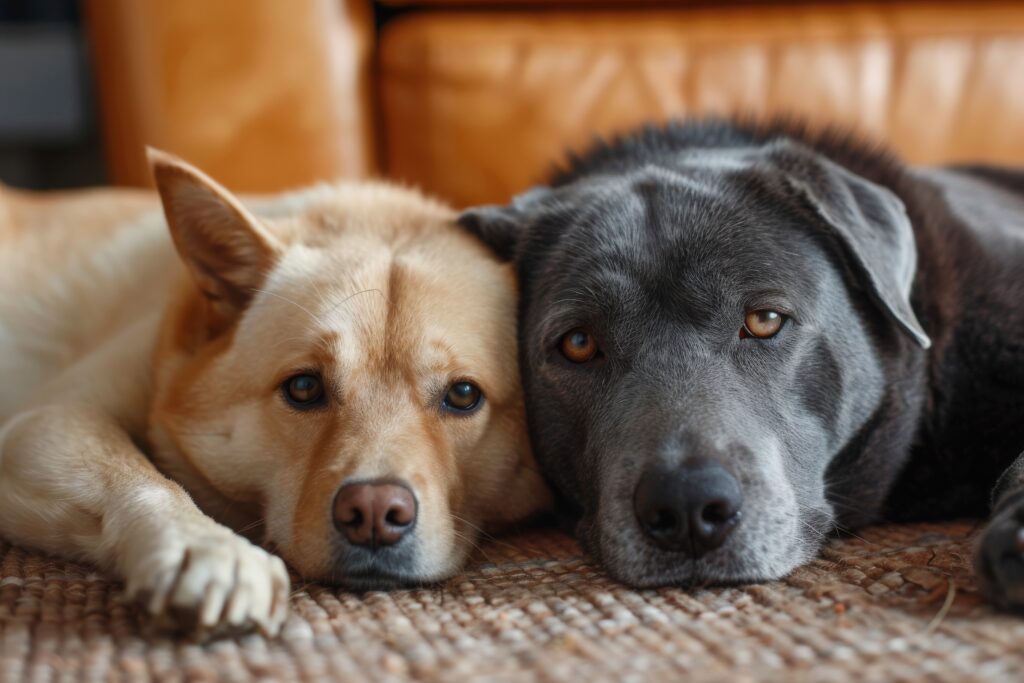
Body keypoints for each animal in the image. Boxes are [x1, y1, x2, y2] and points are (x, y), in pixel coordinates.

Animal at [0, 150, 552, 634]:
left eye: (462, 395)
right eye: (304, 387)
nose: (374, 513)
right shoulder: (45, 419)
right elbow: (147, 479)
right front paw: (206, 548)